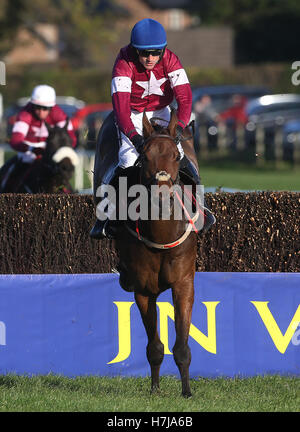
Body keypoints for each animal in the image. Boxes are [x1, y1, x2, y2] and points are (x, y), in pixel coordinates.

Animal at [95, 109, 200, 396]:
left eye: (175, 156)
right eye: (144, 156)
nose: (162, 196)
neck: (161, 234)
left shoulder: (183, 282)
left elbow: (182, 345)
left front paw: (186, 391)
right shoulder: (143, 289)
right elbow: (154, 346)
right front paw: (155, 388)